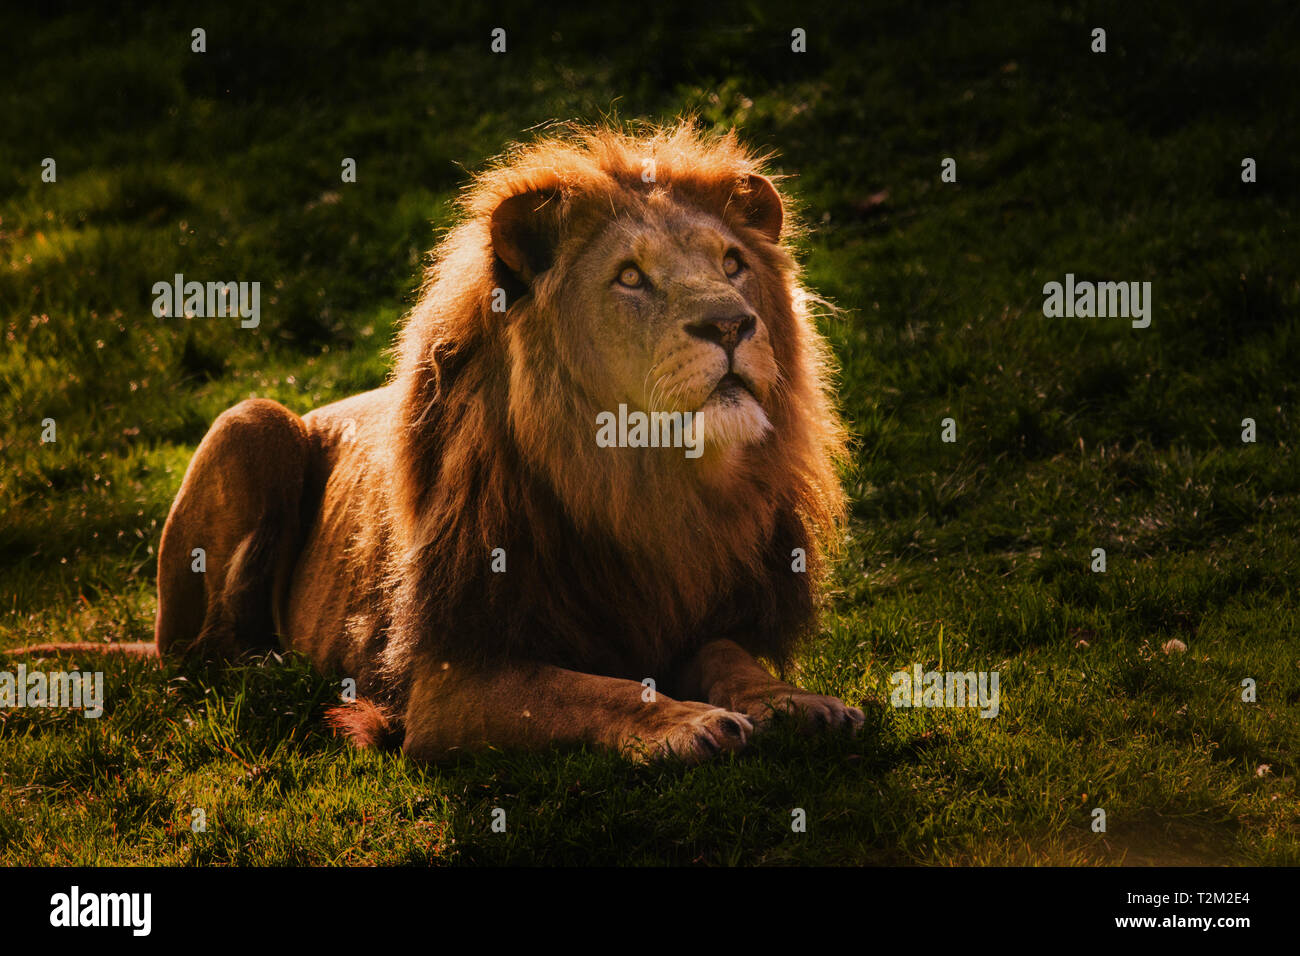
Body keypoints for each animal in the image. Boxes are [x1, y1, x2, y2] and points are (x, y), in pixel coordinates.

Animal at [147, 123, 862, 762]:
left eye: (733, 265)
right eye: (630, 277)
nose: (732, 325)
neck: (637, 480)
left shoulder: (699, 614)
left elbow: (730, 660)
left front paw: (800, 702)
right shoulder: (450, 677)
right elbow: (590, 691)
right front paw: (686, 723)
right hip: (251, 423)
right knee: (203, 656)